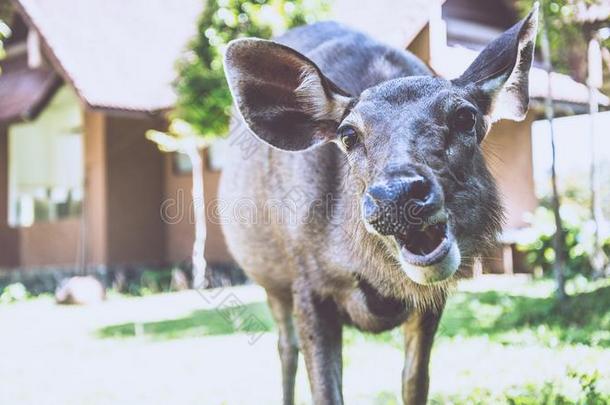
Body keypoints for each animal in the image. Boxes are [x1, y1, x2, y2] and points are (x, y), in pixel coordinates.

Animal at [218, 4, 536, 402]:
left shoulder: (430, 298)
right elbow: (325, 390)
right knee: (285, 348)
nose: (398, 195)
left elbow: (414, 381)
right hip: (270, 279)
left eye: (465, 116)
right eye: (348, 135)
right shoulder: (307, 280)